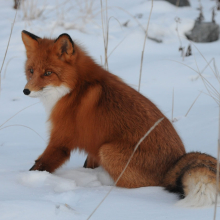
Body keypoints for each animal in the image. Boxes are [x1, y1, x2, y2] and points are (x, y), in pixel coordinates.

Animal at [21, 30, 219, 206]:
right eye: (31, 71)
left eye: (48, 73)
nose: (25, 91)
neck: (76, 86)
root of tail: (175, 162)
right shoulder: (92, 144)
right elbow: (87, 163)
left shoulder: (61, 139)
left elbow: (40, 165)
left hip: (107, 151)